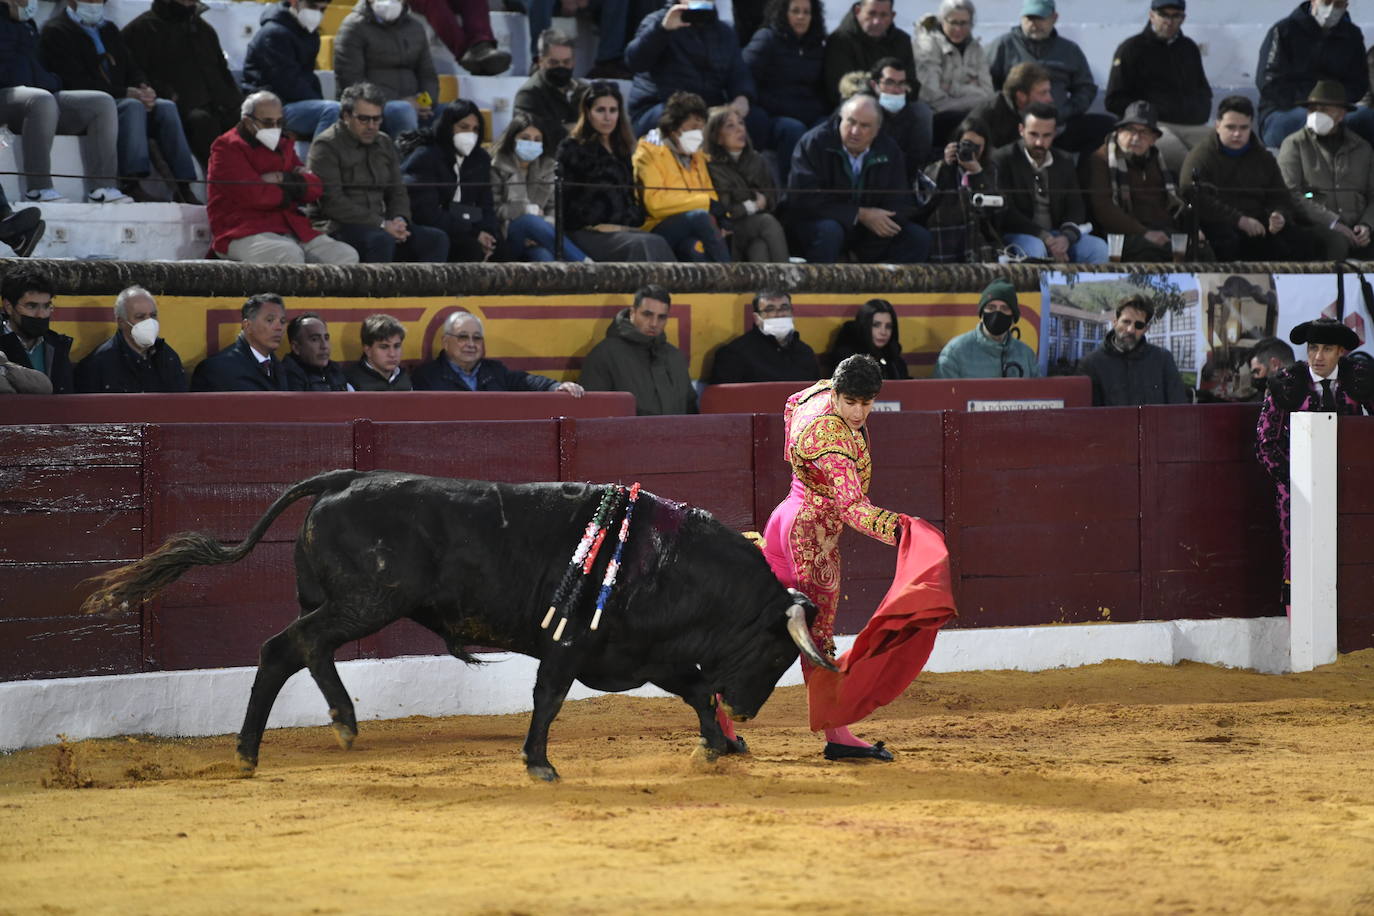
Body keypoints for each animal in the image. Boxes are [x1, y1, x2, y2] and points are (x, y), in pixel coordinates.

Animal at [88, 472, 835, 780]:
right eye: (779, 654)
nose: (753, 709)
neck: (669, 561)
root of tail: (343, 477)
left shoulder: (641, 654)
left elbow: (696, 694)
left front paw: (721, 747)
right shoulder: (572, 646)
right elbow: (549, 699)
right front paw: (538, 763)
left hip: (347, 604)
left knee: (303, 649)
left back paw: (324, 729)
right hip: (367, 602)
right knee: (285, 647)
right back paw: (270, 745)